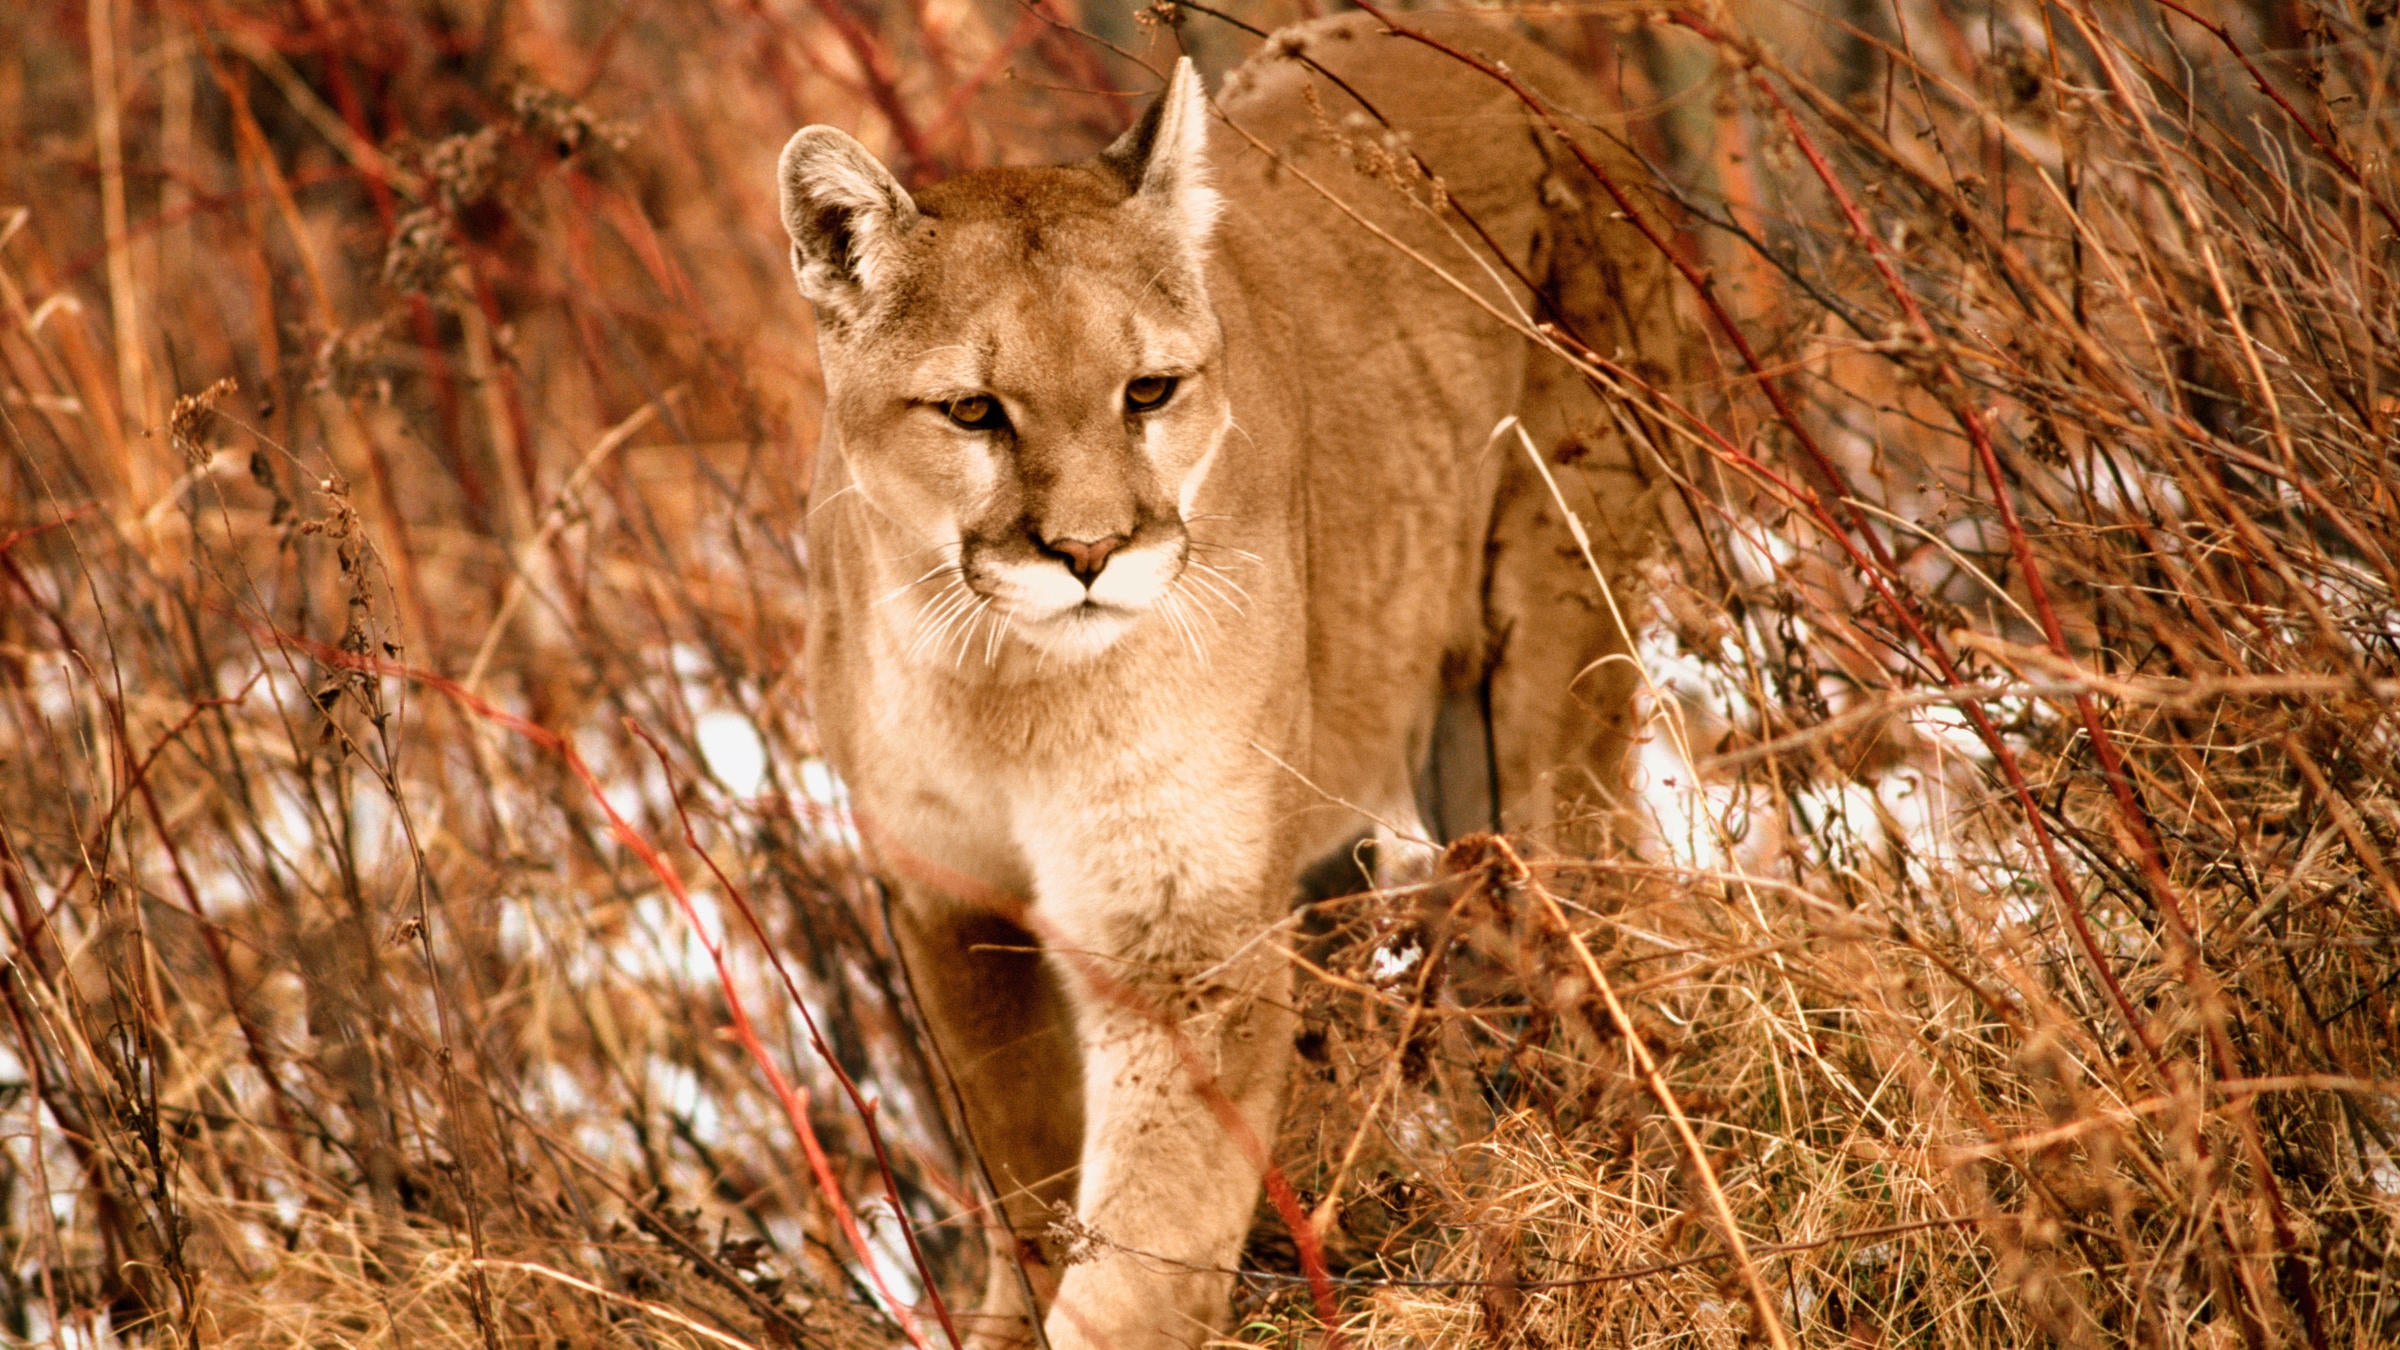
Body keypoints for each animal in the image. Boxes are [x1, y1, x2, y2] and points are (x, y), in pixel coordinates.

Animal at [776, 12, 1680, 1347]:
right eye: (973, 411)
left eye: (1148, 390)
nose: (1091, 552)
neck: (1004, 694)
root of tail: (1528, 59)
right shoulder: (950, 902)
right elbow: (1027, 1173)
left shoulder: (1182, 941)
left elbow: (1140, 1253)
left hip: (1537, 699)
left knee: (1583, 916)